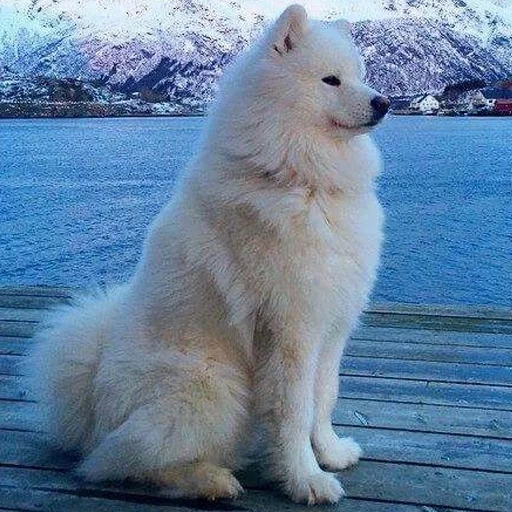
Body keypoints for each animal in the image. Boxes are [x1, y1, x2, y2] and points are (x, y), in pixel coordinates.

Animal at [29, 4, 388, 506]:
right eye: (331, 80)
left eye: (361, 76)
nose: (384, 102)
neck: (301, 178)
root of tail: (90, 406)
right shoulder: (292, 329)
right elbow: (295, 412)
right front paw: (306, 479)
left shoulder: (332, 325)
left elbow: (324, 398)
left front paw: (331, 453)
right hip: (215, 386)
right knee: (120, 461)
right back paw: (209, 480)